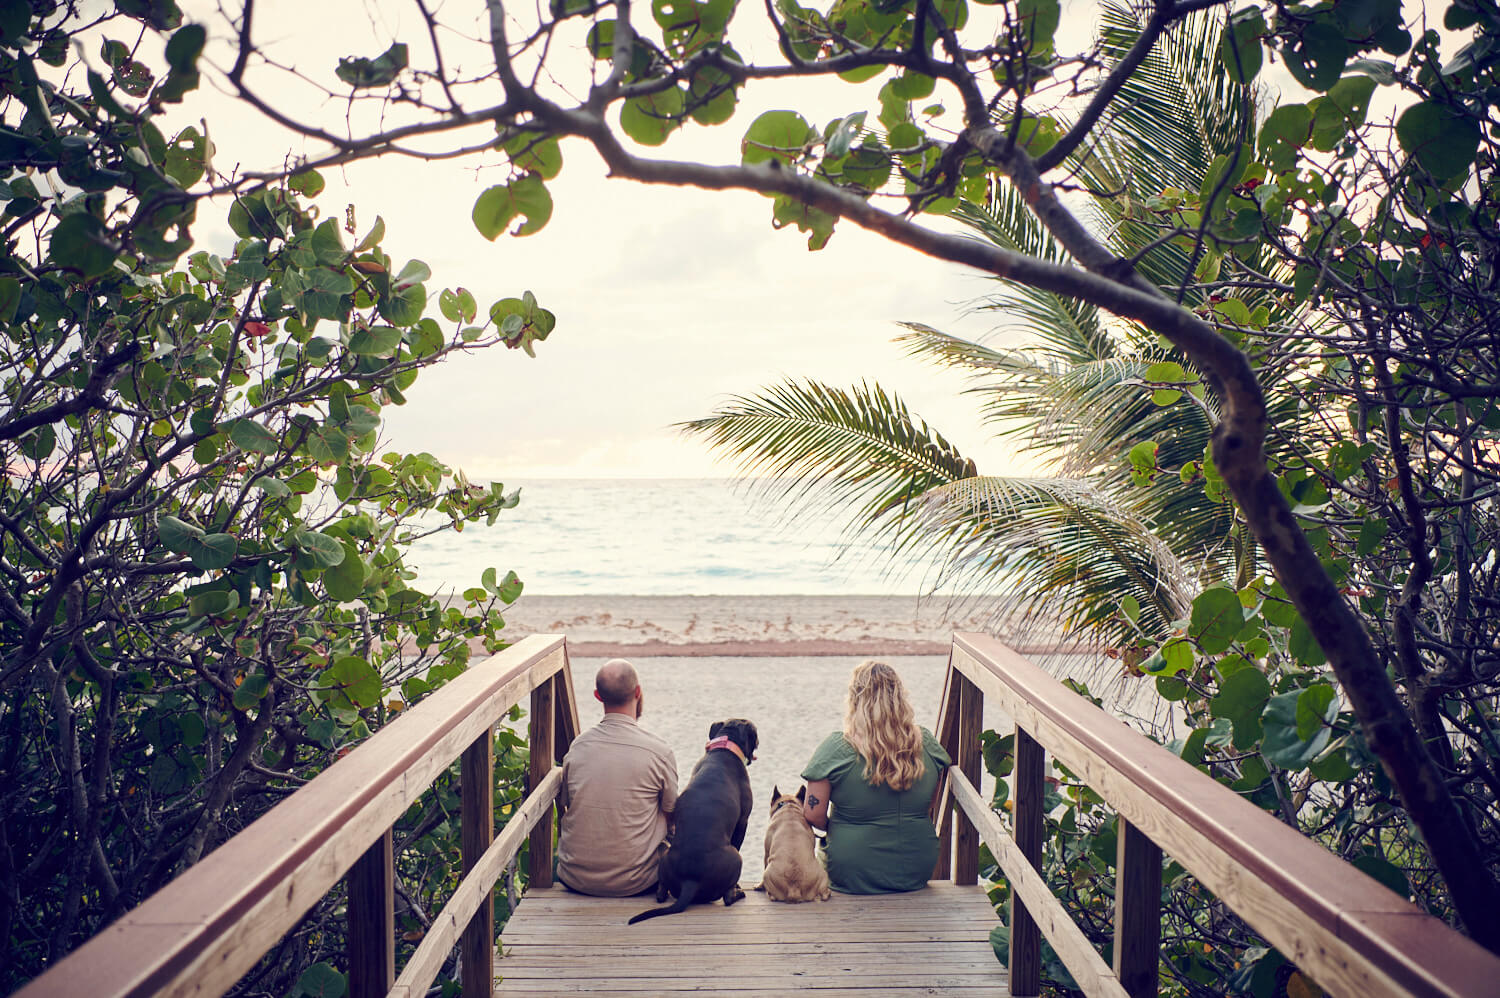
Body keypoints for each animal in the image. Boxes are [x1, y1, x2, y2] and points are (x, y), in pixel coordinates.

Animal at [627, 717, 756, 918]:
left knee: (661, 892)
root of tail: (690, 880)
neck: (724, 749)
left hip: (665, 855)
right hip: (736, 858)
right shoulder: (743, 822)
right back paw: (738, 894)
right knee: (727, 898)